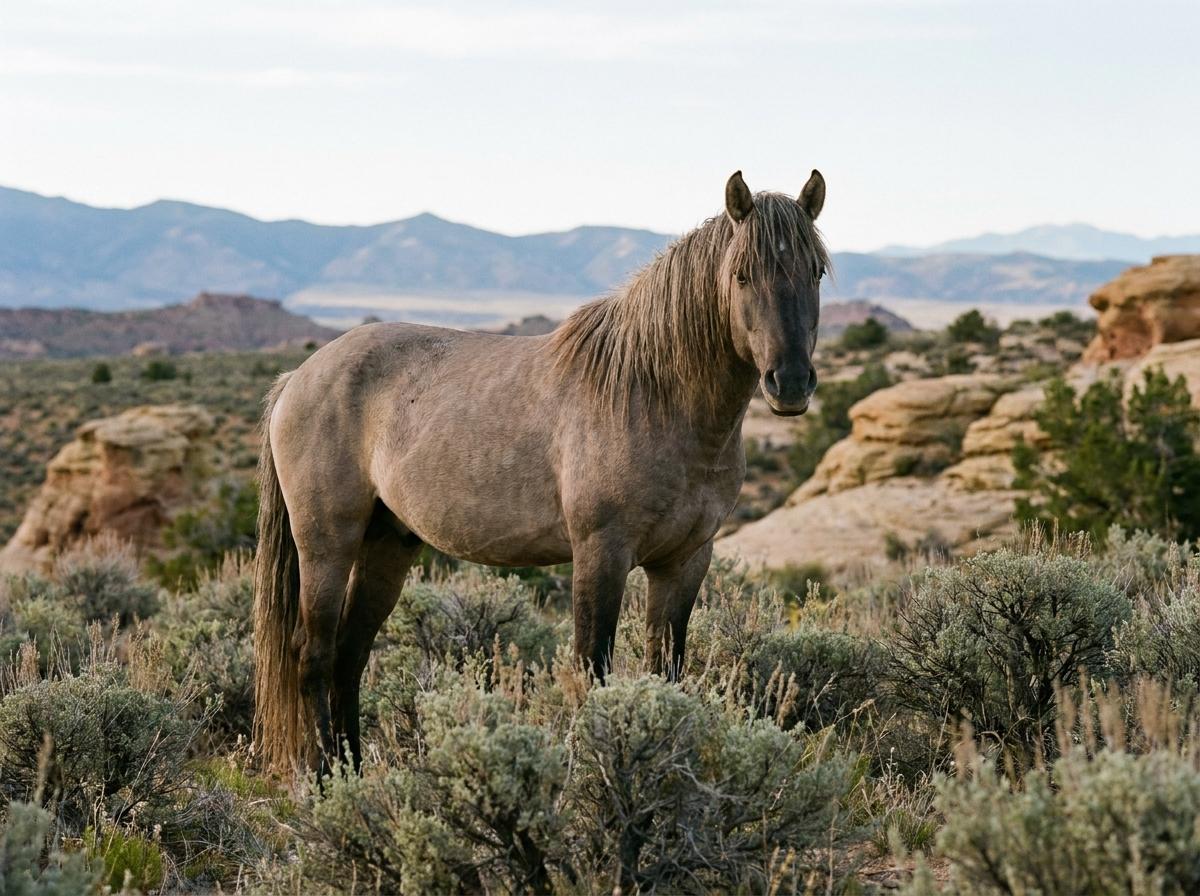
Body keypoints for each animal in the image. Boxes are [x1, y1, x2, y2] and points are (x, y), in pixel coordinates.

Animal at [253, 169, 829, 774]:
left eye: (815, 271)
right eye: (741, 275)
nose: (790, 383)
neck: (653, 394)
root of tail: (297, 377)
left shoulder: (686, 560)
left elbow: (664, 671)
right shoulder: (601, 553)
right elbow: (593, 669)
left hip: (387, 543)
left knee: (350, 654)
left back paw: (354, 773)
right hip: (327, 542)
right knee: (313, 654)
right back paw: (324, 778)